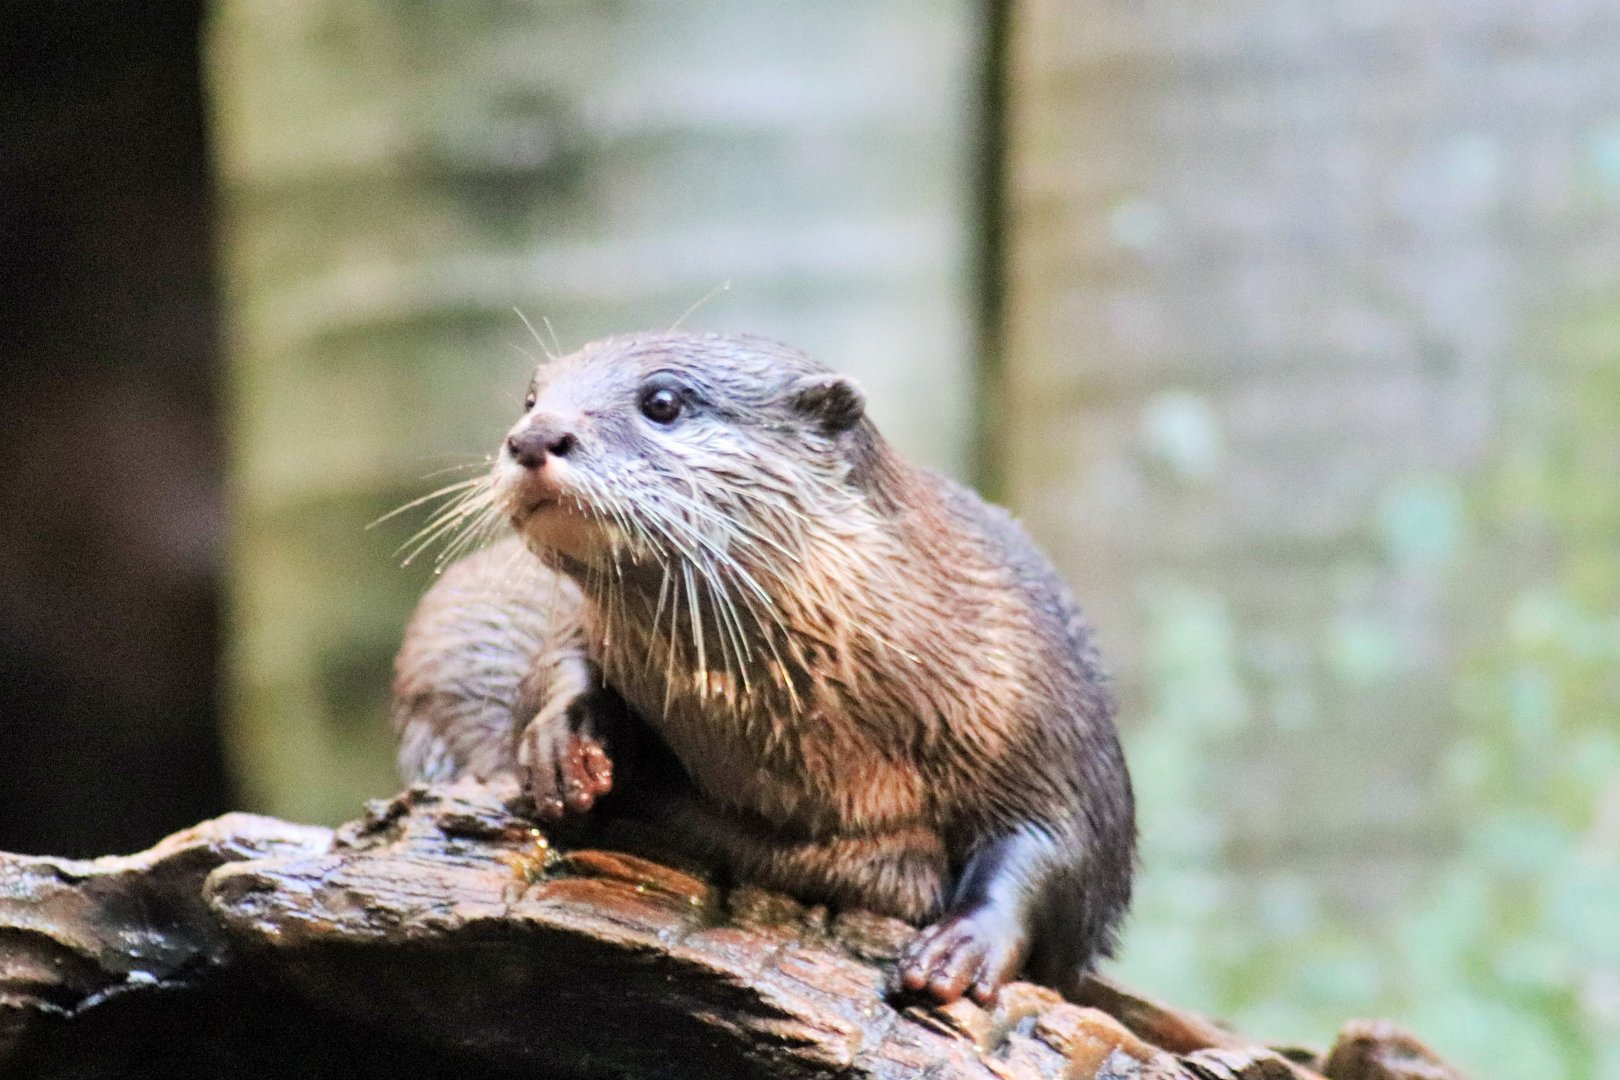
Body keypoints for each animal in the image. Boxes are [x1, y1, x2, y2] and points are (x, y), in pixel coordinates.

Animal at [391, 331, 1135, 1005]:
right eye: (531, 398)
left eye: (662, 401)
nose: (534, 436)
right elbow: (559, 661)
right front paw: (560, 744)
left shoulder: (1032, 687)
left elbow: (1067, 842)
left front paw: (965, 943)